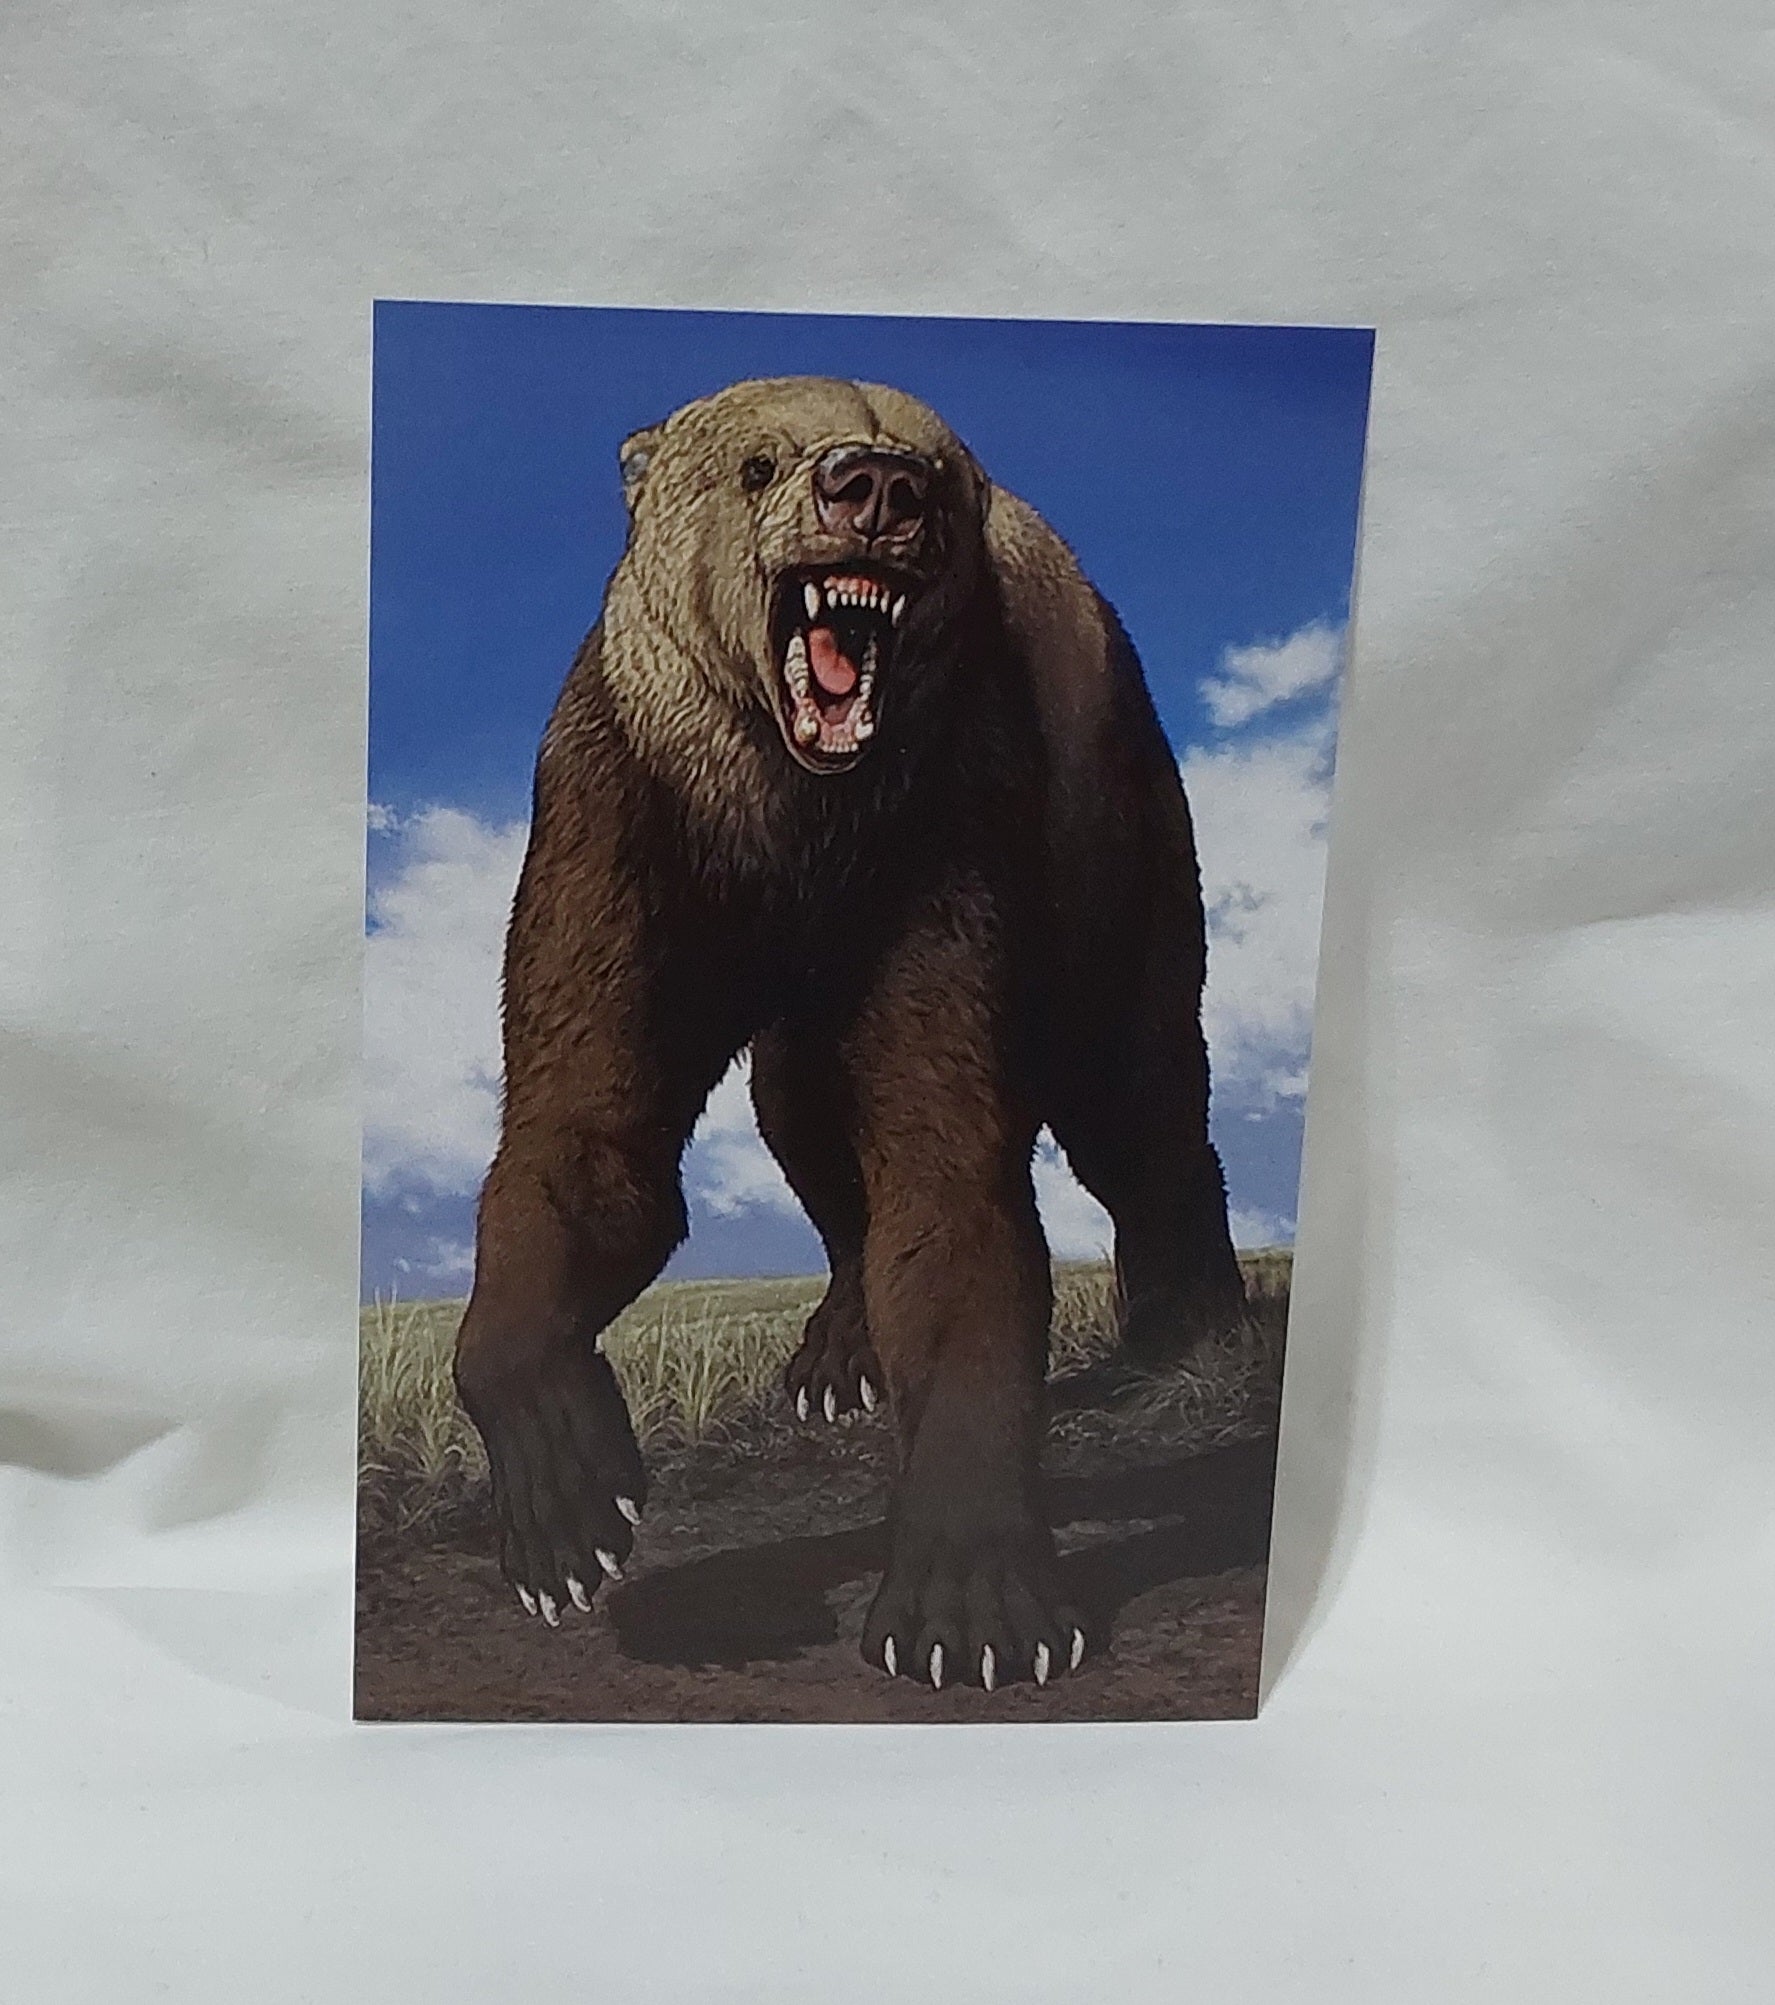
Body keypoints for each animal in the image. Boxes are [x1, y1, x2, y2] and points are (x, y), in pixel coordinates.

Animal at [453, 374, 1247, 1691]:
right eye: (757, 463)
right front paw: (571, 1519)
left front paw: (973, 1611)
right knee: (804, 1116)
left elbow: (946, 1187)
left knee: (1135, 1094)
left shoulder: (944, 846)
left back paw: (1188, 1323)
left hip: (1112, 838)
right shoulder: (624, 821)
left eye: (935, 468)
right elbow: (587, 1146)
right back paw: (834, 1358)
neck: (792, 826)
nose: (873, 486)